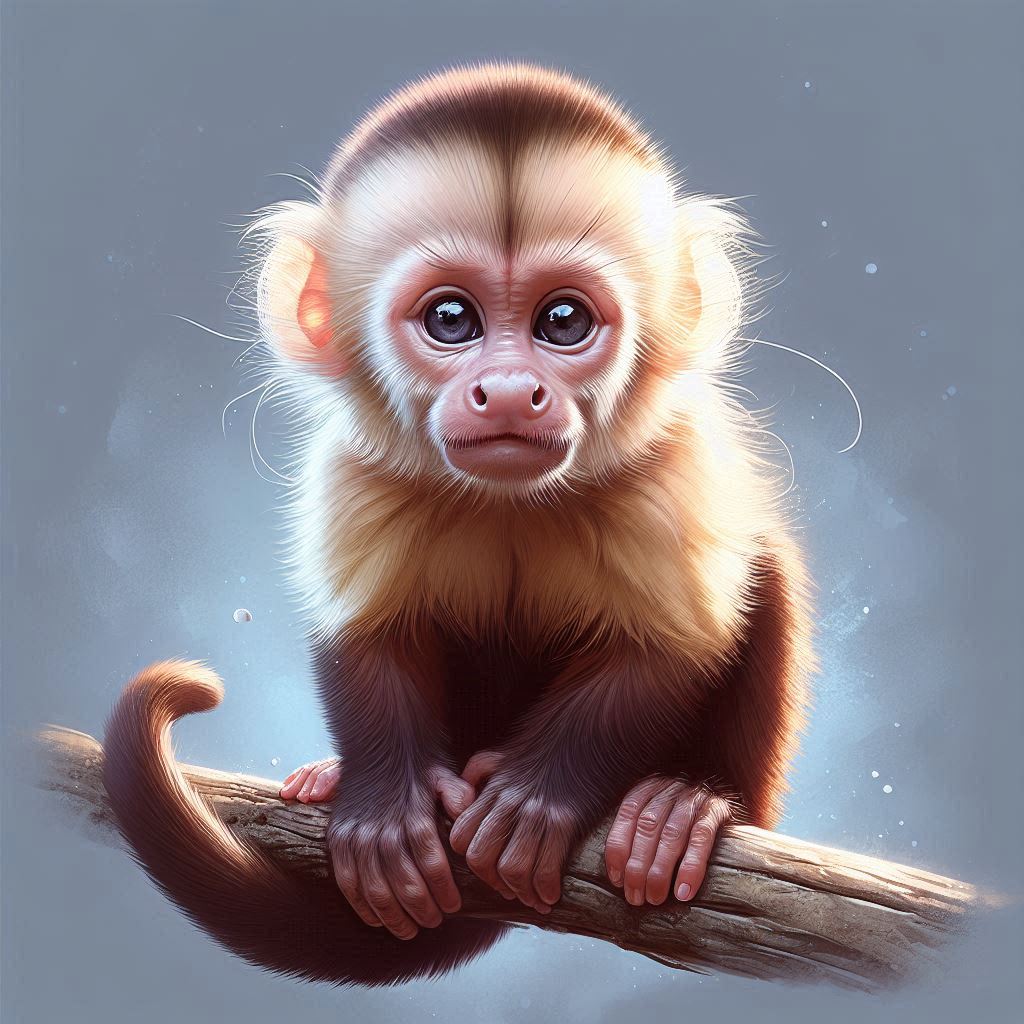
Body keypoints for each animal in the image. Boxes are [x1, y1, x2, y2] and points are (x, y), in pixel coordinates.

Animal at [103, 62, 814, 986]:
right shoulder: (351, 468)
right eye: (451, 319)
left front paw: (536, 801)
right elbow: (367, 633)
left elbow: (675, 647)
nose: (509, 390)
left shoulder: (677, 460)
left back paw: (687, 803)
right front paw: (384, 812)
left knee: (765, 565)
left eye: (562, 321)